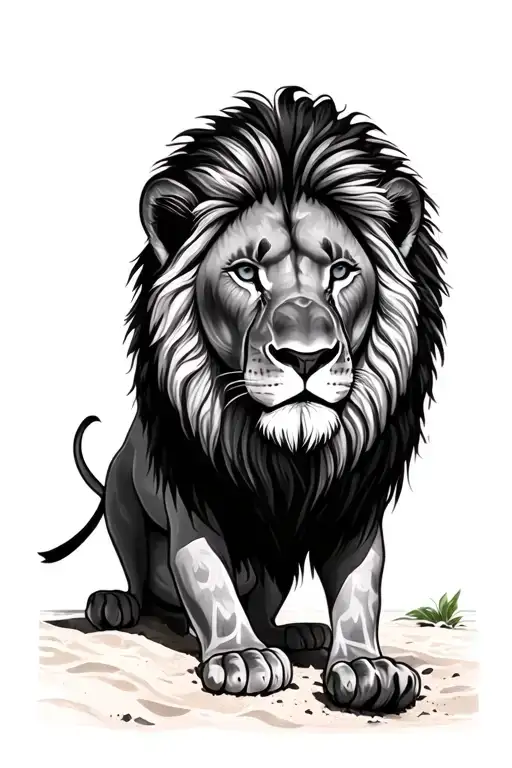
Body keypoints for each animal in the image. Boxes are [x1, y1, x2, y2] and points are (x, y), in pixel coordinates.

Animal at [39, 86, 447, 714]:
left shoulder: (353, 507)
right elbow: (208, 578)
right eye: (246, 271)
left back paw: (295, 632)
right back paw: (119, 603)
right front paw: (241, 656)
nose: (306, 357)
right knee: (139, 575)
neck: (287, 456)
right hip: (122, 503)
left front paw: (366, 665)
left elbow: (361, 588)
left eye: (342, 270)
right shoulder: (193, 506)